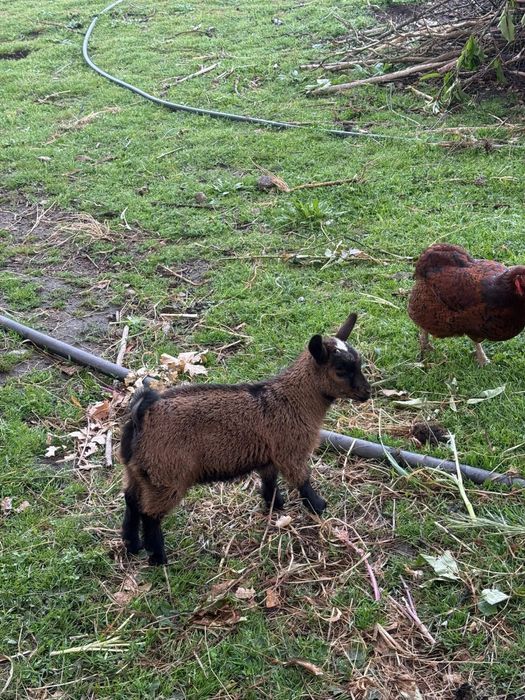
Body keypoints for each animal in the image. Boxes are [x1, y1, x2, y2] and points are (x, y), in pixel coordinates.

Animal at [120, 312, 370, 564]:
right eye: (340, 369)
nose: (367, 393)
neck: (292, 399)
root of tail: (143, 413)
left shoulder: (270, 455)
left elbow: (269, 480)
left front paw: (275, 506)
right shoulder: (290, 450)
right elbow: (302, 480)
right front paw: (318, 506)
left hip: (139, 472)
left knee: (131, 501)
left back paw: (132, 545)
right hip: (166, 475)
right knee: (150, 515)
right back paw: (158, 557)